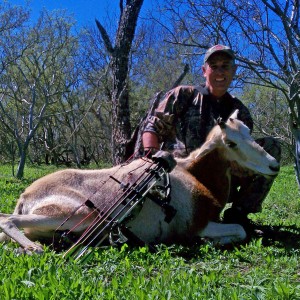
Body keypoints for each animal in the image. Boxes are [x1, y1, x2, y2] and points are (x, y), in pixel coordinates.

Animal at [0, 109, 278, 254]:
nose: (274, 165)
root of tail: (26, 195)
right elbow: (239, 230)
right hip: (84, 216)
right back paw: (34, 249)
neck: (194, 176)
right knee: (7, 220)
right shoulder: (199, 226)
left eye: (248, 132)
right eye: (231, 142)